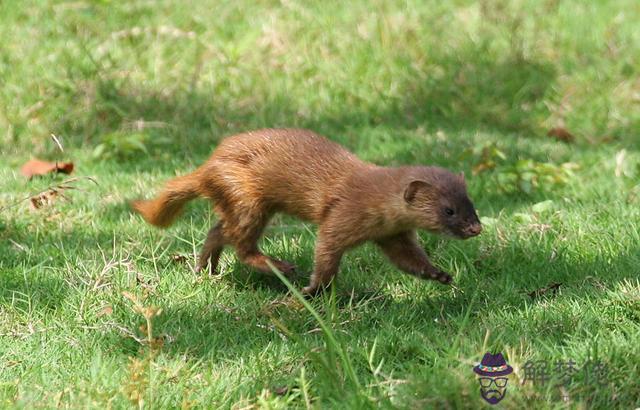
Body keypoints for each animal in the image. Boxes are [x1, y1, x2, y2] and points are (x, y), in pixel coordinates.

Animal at [131, 128, 480, 294]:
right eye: (449, 210)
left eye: (471, 203)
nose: (476, 228)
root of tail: (210, 163)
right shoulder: (340, 218)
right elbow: (326, 253)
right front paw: (312, 290)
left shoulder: (394, 234)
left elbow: (408, 261)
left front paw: (439, 274)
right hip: (247, 198)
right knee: (240, 243)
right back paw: (279, 266)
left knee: (218, 231)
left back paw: (207, 268)